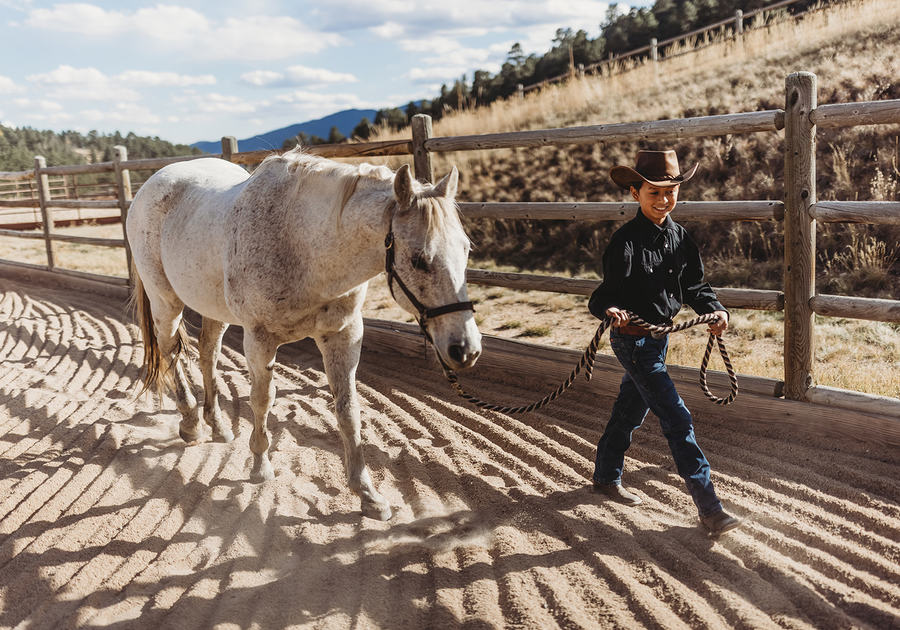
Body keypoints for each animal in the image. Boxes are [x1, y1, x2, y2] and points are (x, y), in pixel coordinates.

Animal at [125, 149, 482, 524]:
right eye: (419, 260)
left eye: (466, 249)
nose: (466, 349)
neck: (302, 244)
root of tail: (152, 183)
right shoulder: (260, 340)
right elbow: (262, 400)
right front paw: (260, 467)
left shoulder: (343, 336)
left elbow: (348, 411)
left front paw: (367, 494)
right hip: (166, 301)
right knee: (171, 351)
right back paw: (192, 423)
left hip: (213, 309)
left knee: (208, 353)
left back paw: (218, 425)